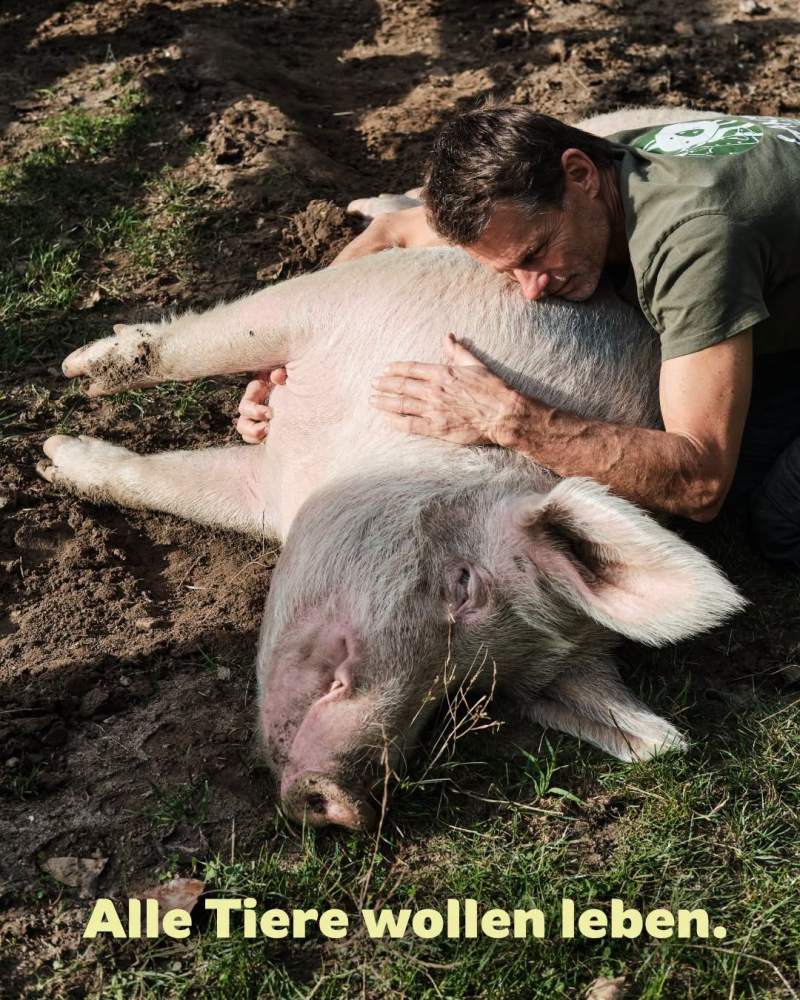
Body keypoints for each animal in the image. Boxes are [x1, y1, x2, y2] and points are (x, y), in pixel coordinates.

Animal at [37, 108, 744, 832]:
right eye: (464, 585)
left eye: (474, 695)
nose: (346, 800)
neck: (351, 451)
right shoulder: (362, 299)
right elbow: (203, 343)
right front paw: (73, 386)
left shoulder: (269, 491)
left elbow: (167, 483)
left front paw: (53, 457)